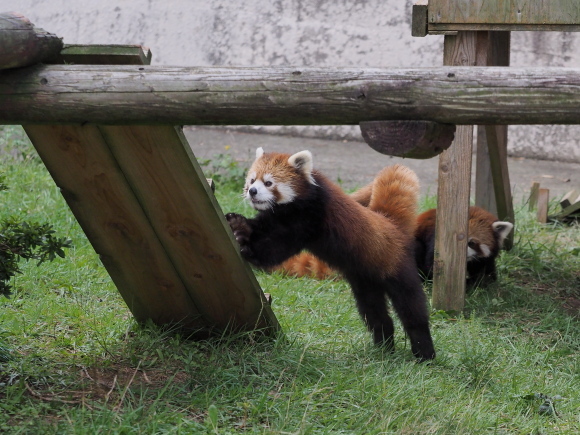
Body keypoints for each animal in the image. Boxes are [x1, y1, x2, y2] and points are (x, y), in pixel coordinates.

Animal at [227, 147, 436, 362]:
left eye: (268, 182)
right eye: (252, 180)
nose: (252, 191)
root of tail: (393, 226)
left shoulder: (309, 216)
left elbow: (276, 247)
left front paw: (250, 250)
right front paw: (239, 226)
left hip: (398, 269)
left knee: (412, 309)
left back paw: (424, 353)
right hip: (365, 281)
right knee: (374, 313)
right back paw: (383, 348)